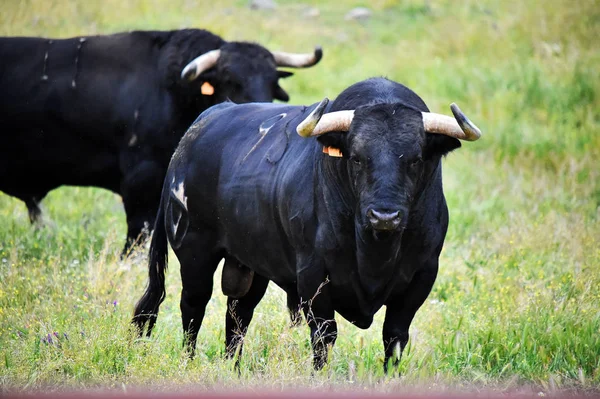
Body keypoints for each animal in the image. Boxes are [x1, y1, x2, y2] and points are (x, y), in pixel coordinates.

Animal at [134, 77, 480, 372]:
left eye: (416, 159)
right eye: (357, 157)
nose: (384, 217)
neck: (374, 251)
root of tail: (197, 128)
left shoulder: (422, 275)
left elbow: (394, 337)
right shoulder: (313, 275)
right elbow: (324, 336)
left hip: (251, 263)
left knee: (238, 315)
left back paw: (233, 368)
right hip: (195, 251)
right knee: (193, 306)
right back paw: (189, 362)